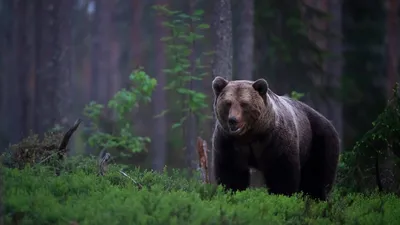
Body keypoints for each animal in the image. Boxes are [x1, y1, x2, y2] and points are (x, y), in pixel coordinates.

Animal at [211, 76, 340, 200]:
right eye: (228, 103)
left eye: (244, 103)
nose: (233, 120)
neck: (250, 135)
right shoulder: (229, 142)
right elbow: (231, 172)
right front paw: (231, 193)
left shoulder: (275, 141)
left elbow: (281, 173)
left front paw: (282, 196)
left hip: (319, 139)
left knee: (317, 177)